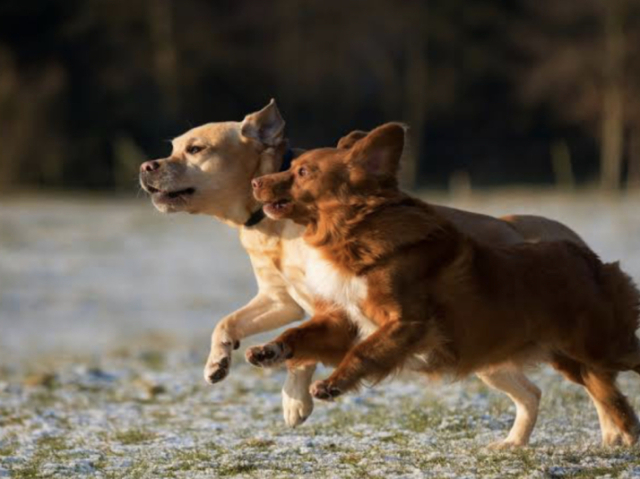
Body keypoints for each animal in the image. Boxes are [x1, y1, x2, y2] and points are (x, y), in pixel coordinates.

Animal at [249, 123, 640, 446]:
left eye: (302, 171)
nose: (255, 183)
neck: (353, 234)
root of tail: (588, 258)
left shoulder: (407, 322)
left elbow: (364, 352)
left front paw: (333, 384)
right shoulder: (347, 321)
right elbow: (300, 334)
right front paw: (269, 350)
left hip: (601, 346)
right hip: (566, 358)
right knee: (597, 397)